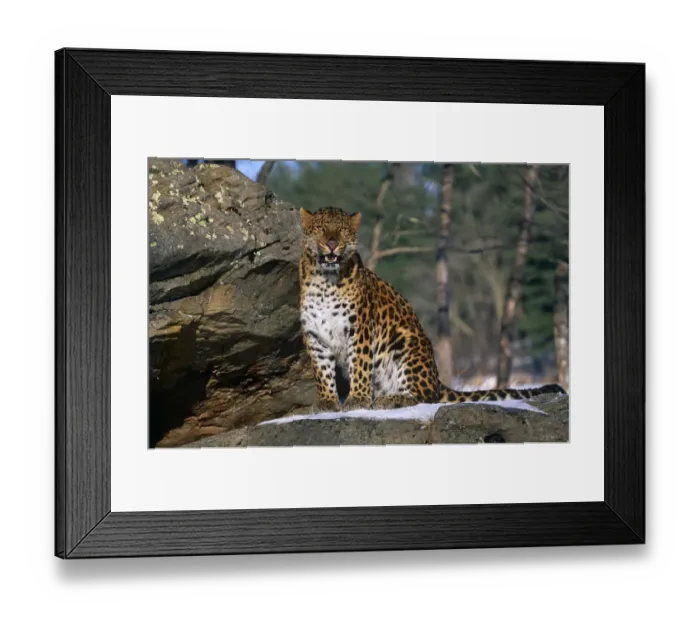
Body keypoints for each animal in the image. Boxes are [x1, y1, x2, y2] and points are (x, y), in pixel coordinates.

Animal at [298, 206, 566, 412]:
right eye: (321, 228)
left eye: (342, 230)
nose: (332, 243)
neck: (325, 281)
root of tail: (437, 378)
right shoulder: (315, 335)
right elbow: (322, 372)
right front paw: (327, 402)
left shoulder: (359, 328)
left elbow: (360, 366)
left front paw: (358, 400)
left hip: (406, 343)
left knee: (425, 397)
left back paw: (390, 399)